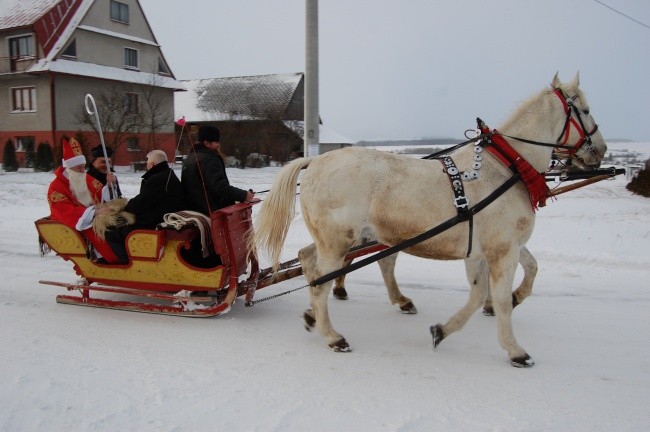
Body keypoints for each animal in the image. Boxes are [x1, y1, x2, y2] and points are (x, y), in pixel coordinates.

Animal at [252, 73, 604, 364]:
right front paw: (515, 349)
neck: (508, 167)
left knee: (309, 262)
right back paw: (333, 335)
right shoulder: (503, 250)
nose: (599, 150)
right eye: (585, 110)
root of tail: (314, 162)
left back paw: (317, 316)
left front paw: (444, 330)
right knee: (320, 283)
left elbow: (497, 286)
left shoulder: (488, 249)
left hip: (337, 240)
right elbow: (501, 299)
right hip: (338, 242)